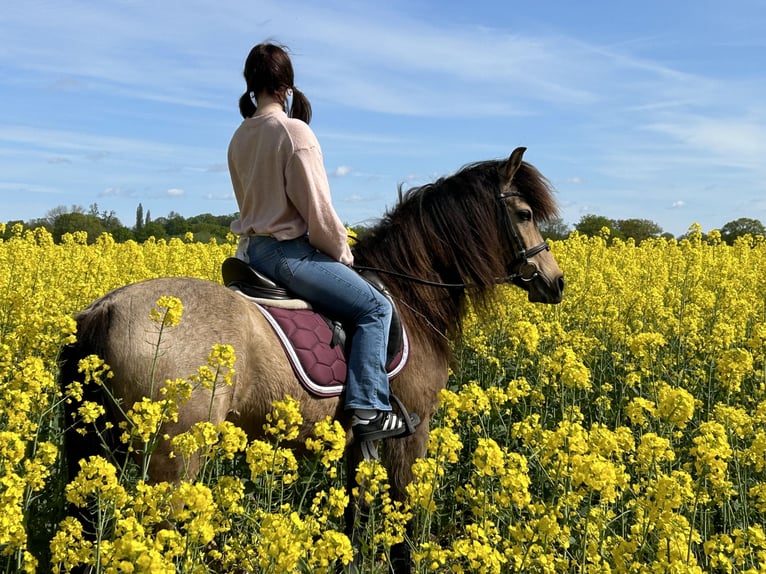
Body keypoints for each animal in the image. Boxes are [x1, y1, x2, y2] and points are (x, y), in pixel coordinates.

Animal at [59, 146, 564, 572]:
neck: (409, 294)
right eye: (524, 214)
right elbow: (401, 522)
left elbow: (354, 515)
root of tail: (103, 309)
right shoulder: (414, 431)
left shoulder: (358, 441)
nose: (555, 283)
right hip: (173, 458)